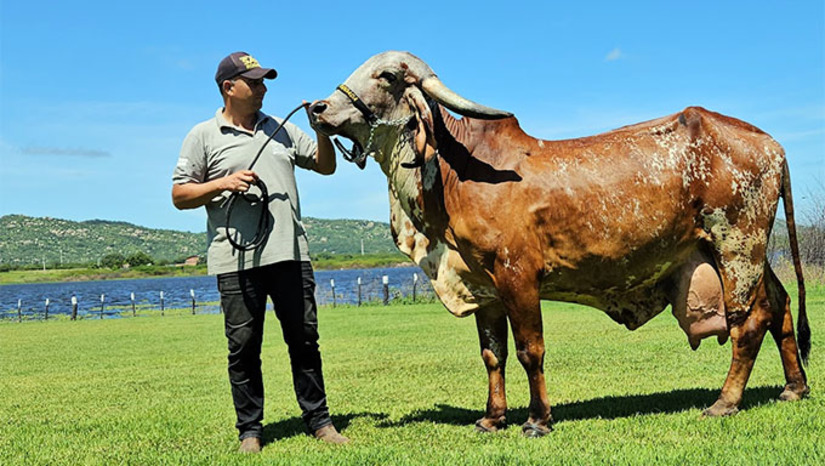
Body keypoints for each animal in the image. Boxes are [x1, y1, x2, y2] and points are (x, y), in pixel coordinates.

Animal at [308, 51, 810, 436]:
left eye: (386, 76)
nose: (318, 108)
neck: (452, 173)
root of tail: (772, 144)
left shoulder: (517, 276)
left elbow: (530, 350)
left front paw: (537, 420)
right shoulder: (483, 286)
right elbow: (493, 355)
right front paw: (492, 419)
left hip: (736, 247)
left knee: (748, 322)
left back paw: (725, 401)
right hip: (749, 254)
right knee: (780, 306)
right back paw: (794, 387)